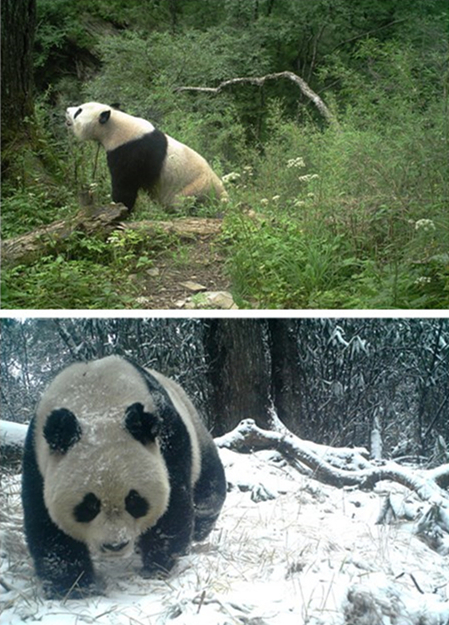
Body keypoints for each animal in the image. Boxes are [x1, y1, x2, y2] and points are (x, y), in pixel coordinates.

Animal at [21, 354, 226, 596]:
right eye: (89, 506)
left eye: (134, 500)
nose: (115, 545)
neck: (96, 404)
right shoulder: (38, 459)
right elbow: (47, 526)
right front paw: (73, 587)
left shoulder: (168, 440)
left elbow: (172, 507)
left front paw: (158, 566)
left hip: (195, 429)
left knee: (209, 490)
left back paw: (199, 530)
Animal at [65, 102, 228, 210]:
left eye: (78, 111)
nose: (66, 110)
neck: (115, 126)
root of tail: (224, 195)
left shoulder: (131, 150)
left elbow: (125, 184)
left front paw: (119, 207)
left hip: (195, 187)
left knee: (187, 202)